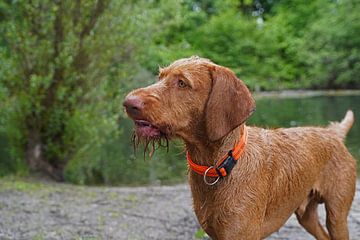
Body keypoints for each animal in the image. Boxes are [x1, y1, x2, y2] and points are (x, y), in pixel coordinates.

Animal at [124, 56, 358, 240]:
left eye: (182, 83)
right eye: (160, 77)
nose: (128, 103)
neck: (221, 163)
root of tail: (334, 133)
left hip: (337, 216)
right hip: (307, 216)